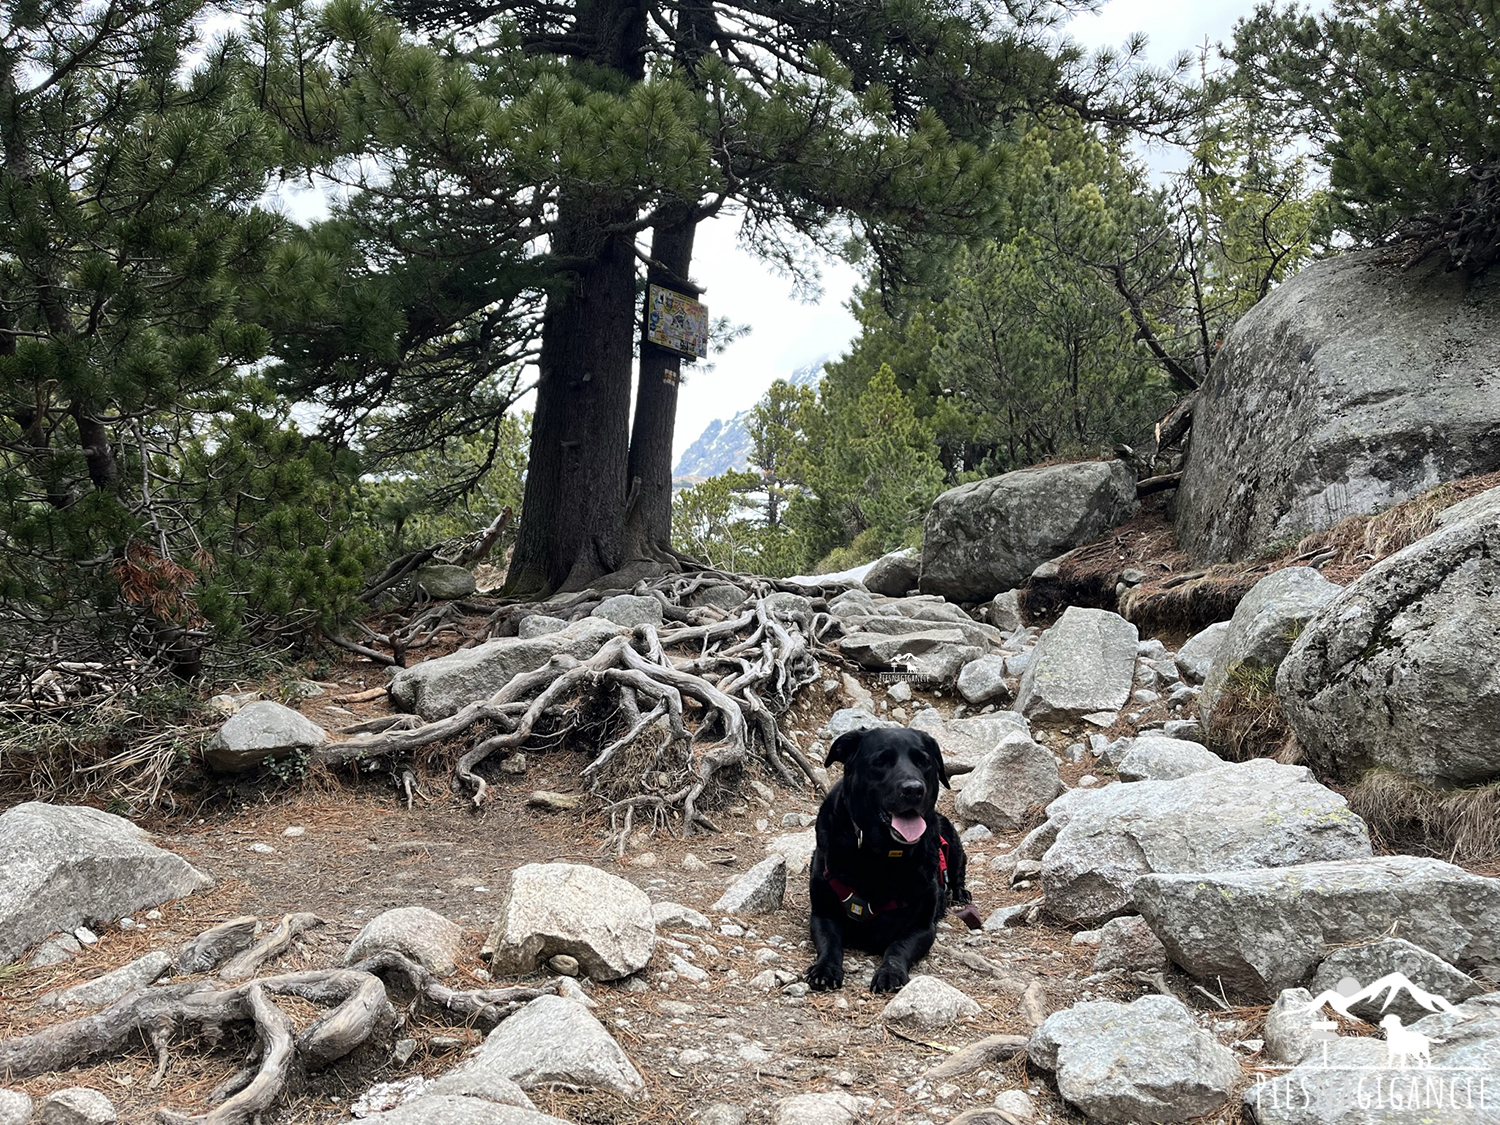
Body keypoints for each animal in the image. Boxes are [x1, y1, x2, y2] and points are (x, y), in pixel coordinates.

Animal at [804, 726, 978, 990]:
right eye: (881, 761)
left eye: (924, 761)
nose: (914, 789)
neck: (883, 857)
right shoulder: (823, 915)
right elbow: (830, 943)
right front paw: (825, 968)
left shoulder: (922, 928)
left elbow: (898, 947)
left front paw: (890, 972)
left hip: (953, 843)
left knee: (957, 873)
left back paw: (959, 892)